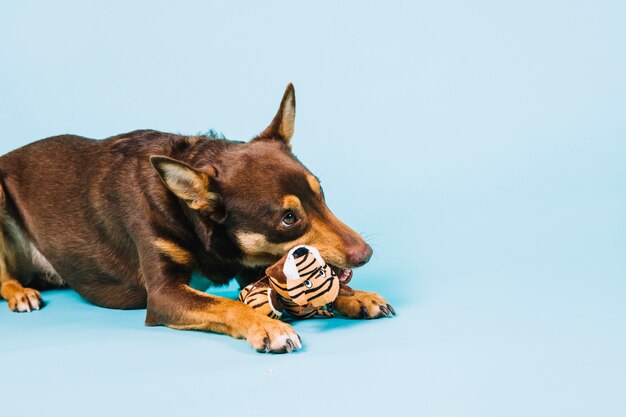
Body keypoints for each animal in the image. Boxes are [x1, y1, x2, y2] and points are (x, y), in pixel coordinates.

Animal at [0, 83, 392, 352]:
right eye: (288, 218)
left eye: (321, 193)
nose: (366, 254)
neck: (192, 218)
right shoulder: (164, 295)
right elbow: (225, 304)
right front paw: (267, 327)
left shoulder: (252, 266)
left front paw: (356, 296)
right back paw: (20, 292)